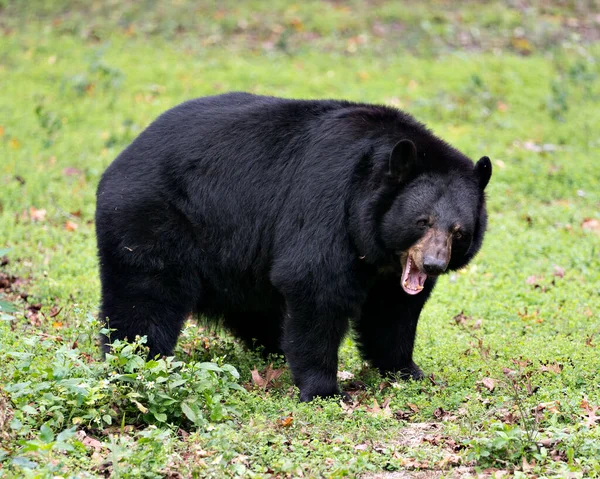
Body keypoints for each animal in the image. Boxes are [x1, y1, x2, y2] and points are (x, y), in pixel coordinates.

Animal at [97, 93, 492, 402]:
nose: (433, 264)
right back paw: (137, 362)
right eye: (422, 221)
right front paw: (324, 390)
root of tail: (121, 158)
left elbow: (393, 310)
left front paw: (408, 371)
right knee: (145, 297)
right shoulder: (330, 203)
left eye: (459, 232)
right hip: (153, 216)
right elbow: (315, 283)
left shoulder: (388, 269)